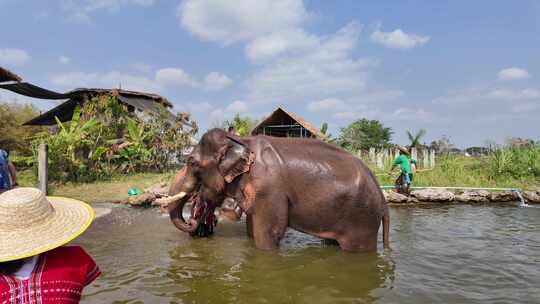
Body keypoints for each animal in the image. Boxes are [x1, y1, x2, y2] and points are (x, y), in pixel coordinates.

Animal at [158, 128, 390, 252]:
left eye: (191, 162)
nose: (194, 221)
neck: (241, 140)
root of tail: (383, 198)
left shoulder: (269, 190)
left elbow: (269, 233)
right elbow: (252, 229)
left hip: (361, 220)